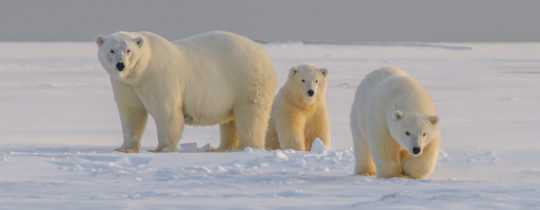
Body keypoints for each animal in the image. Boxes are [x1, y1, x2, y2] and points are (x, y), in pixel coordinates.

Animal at [94, 30, 276, 153]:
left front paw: (162, 148)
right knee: (230, 121)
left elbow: (167, 111)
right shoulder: (126, 85)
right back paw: (221, 148)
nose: (120, 65)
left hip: (246, 80)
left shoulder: (158, 77)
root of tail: (264, 54)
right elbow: (131, 113)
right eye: (111, 50)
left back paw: (249, 147)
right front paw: (125, 148)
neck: (142, 70)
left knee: (251, 115)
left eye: (128, 50)